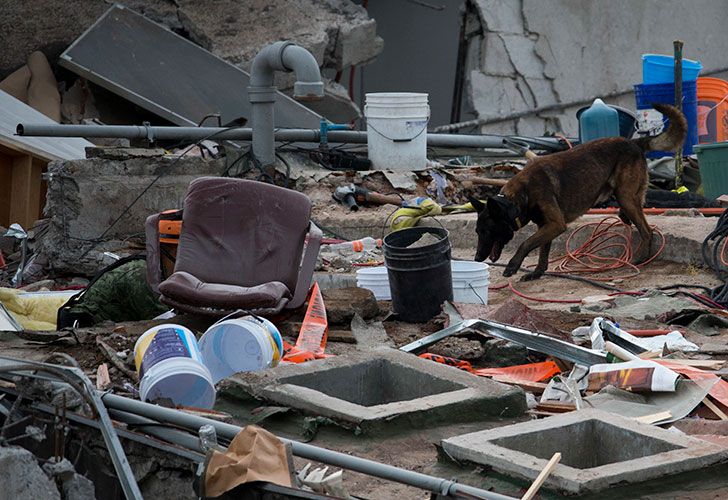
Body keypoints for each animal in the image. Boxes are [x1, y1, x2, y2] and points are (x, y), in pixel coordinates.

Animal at [472, 103, 688, 280]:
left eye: (487, 231)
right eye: (477, 232)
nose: (476, 258)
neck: (518, 199)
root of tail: (634, 143)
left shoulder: (555, 224)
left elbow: (526, 242)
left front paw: (513, 266)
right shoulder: (547, 225)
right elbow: (542, 251)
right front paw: (537, 273)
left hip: (625, 196)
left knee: (647, 230)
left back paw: (642, 258)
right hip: (625, 195)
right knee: (634, 212)